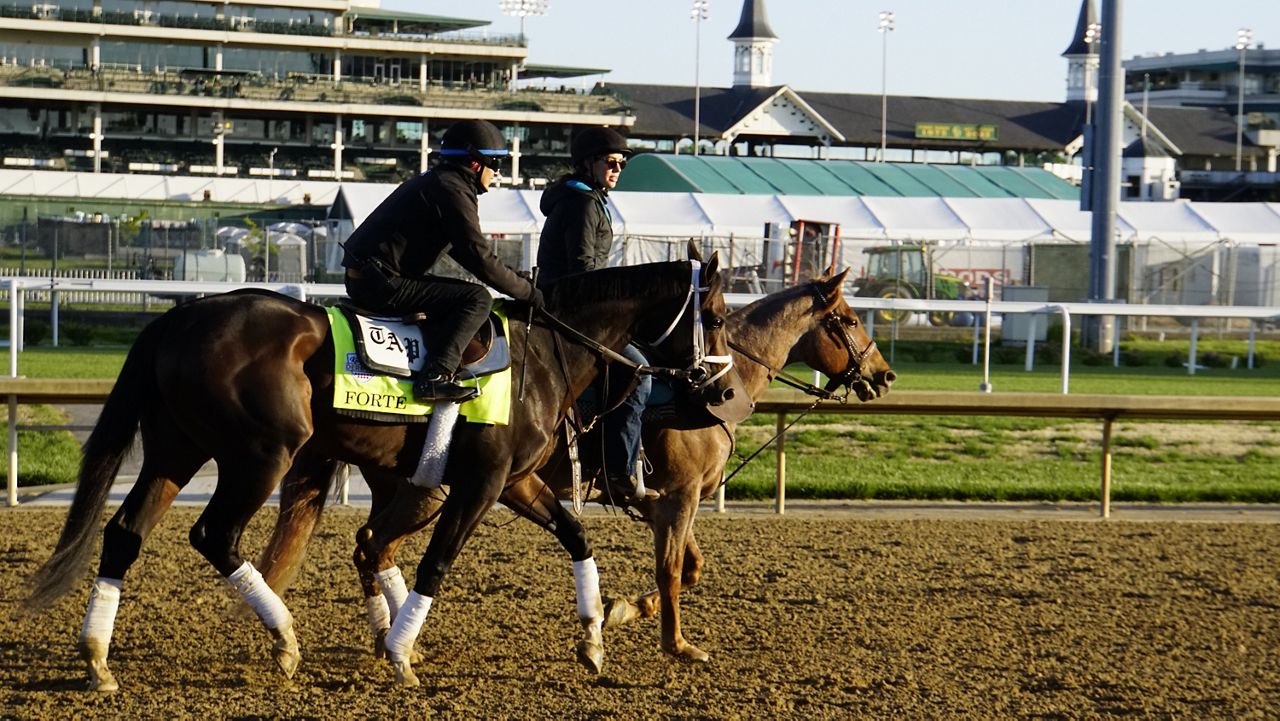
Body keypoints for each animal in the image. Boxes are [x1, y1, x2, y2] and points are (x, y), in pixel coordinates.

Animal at [24, 254, 737, 691]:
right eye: (719, 316)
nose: (722, 393)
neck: (548, 348)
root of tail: (179, 315)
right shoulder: (480, 485)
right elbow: (437, 563)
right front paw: (398, 655)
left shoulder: (516, 482)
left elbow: (577, 536)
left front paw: (592, 637)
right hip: (260, 456)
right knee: (216, 535)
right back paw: (285, 638)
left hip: (176, 452)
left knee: (124, 534)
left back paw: (97, 659)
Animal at [256, 268, 896, 671]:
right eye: (849, 319)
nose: (884, 375)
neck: (713, 382)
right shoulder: (678, 498)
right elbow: (673, 572)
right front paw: (671, 641)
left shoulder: (663, 504)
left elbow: (689, 568)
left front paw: (620, 612)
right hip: (430, 494)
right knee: (374, 545)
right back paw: (390, 641)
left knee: (372, 545)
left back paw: (391, 640)